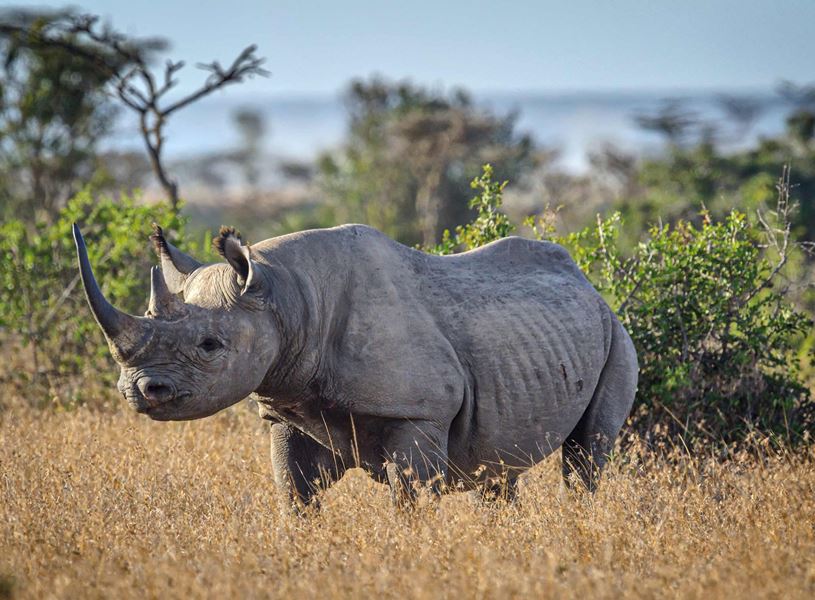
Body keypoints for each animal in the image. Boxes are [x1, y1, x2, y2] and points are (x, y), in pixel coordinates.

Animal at [73, 222, 637, 505]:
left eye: (210, 346)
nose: (140, 390)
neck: (286, 295)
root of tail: (590, 284)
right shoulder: (289, 408)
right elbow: (294, 492)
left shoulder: (418, 413)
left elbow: (412, 497)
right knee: (499, 468)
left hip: (617, 335)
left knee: (587, 453)